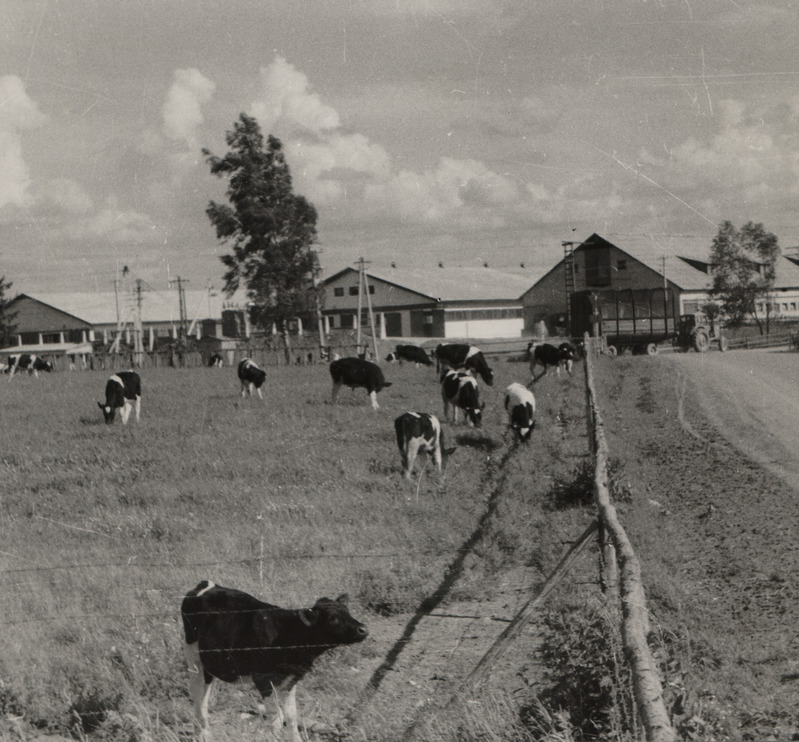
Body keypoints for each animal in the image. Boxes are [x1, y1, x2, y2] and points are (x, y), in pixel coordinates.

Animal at [181, 580, 368, 742]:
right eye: (332, 618)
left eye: (348, 612)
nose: (364, 629)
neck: (290, 633)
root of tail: (207, 585)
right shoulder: (264, 678)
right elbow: (277, 719)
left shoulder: (291, 679)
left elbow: (291, 716)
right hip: (193, 655)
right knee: (198, 695)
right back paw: (202, 734)